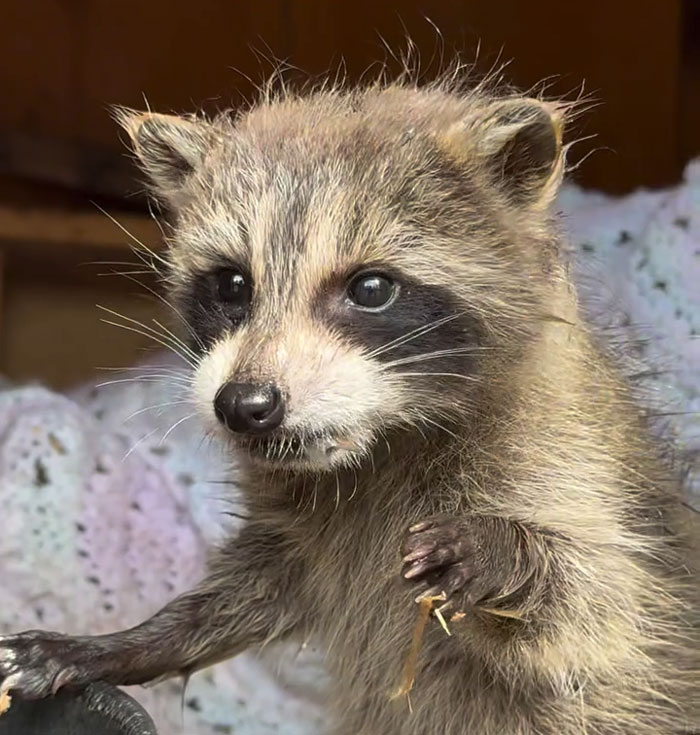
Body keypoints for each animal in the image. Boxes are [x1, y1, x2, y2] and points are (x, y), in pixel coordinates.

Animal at [1, 73, 698, 735]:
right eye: (231, 284)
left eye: (371, 288)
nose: (243, 404)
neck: (382, 444)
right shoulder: (302, 528)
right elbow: (251, 590)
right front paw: (134, 641)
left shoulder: (574, 470)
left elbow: (600, 608)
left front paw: (502, 551)